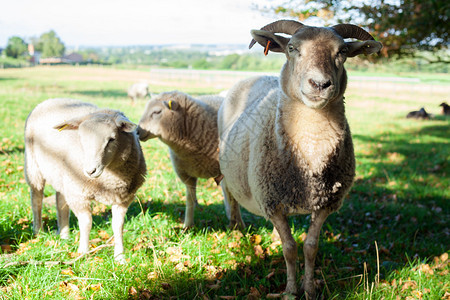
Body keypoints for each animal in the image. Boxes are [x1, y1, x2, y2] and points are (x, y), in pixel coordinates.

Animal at [23, 98, 147, 260]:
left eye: (111, 139)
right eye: (81, 139)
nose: (90, 171)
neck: (108, 179)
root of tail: (52, 100)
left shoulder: (123, 198)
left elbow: (118, 225)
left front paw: (120, 257)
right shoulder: (78, 194)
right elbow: (86, 223)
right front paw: (83, 252)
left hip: (63, 177)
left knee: (60, 202)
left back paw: (64, 235)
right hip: (33, 167)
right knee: (36, 199)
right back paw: (38, 232)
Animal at [138, 91, 244, 227]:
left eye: (157, 112)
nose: (137, 131)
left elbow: (233, 198)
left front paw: (237, 226)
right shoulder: (186, 174)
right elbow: (190, 199)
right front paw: (188, 225)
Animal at [218, 20, 384, 298]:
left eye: (342, 51)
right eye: (292, 48)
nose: (319, 84)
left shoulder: (326, 204)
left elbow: (310, 247)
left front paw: (309, 290)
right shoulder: (272, 202)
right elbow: (289, 248)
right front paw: (289, 291)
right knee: (229, 191)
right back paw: (236, 226)